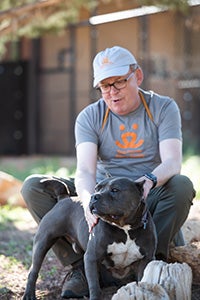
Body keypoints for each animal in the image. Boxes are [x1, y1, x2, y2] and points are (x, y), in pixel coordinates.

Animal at [22, 177, 157, 298]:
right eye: (97, 188)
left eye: (115, 190)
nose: (94, 196)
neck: (124, 228)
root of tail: (64, 198)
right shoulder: (92, 257)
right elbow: (94, 286)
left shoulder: (146, 259)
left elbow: (143, 280)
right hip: (42, 242)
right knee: (33, 271)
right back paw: (29, 294)